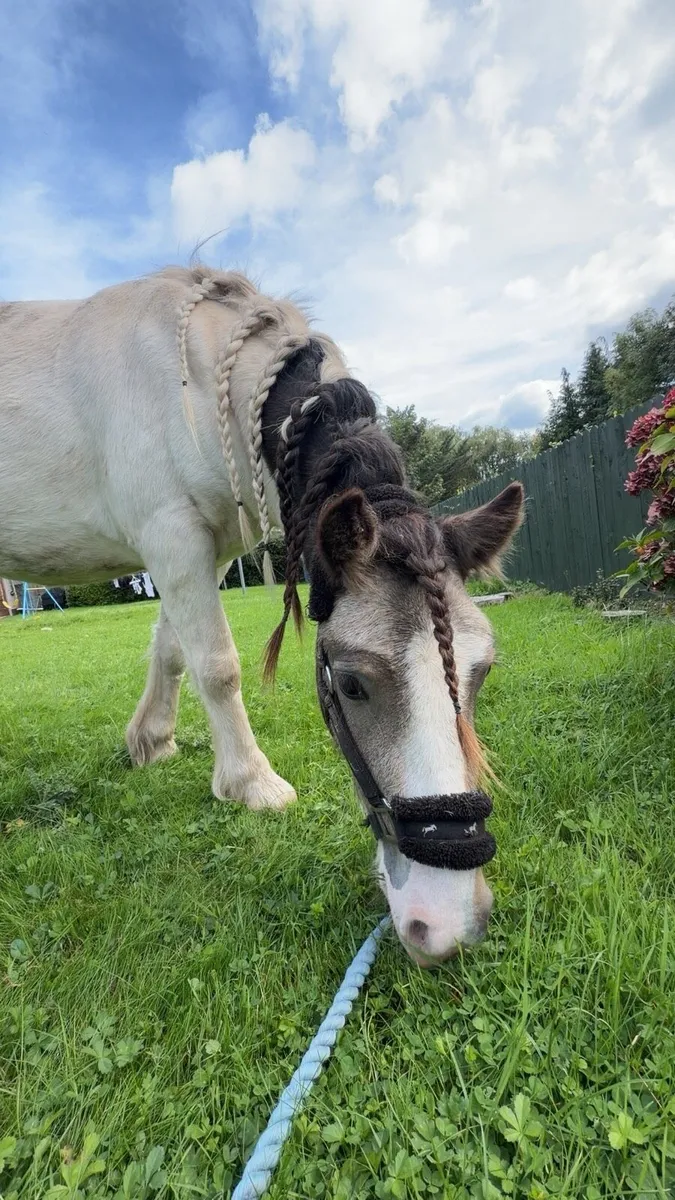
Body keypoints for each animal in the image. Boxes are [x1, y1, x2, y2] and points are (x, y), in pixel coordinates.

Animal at [0, 265, 524, 964]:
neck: (190, 380)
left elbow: (172, 649)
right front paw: (251, 784)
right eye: (350, 684)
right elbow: (218, 667)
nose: (447, 925)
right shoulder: (171, 536)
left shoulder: (200, 551)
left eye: (482, 670)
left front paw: (152, 741)